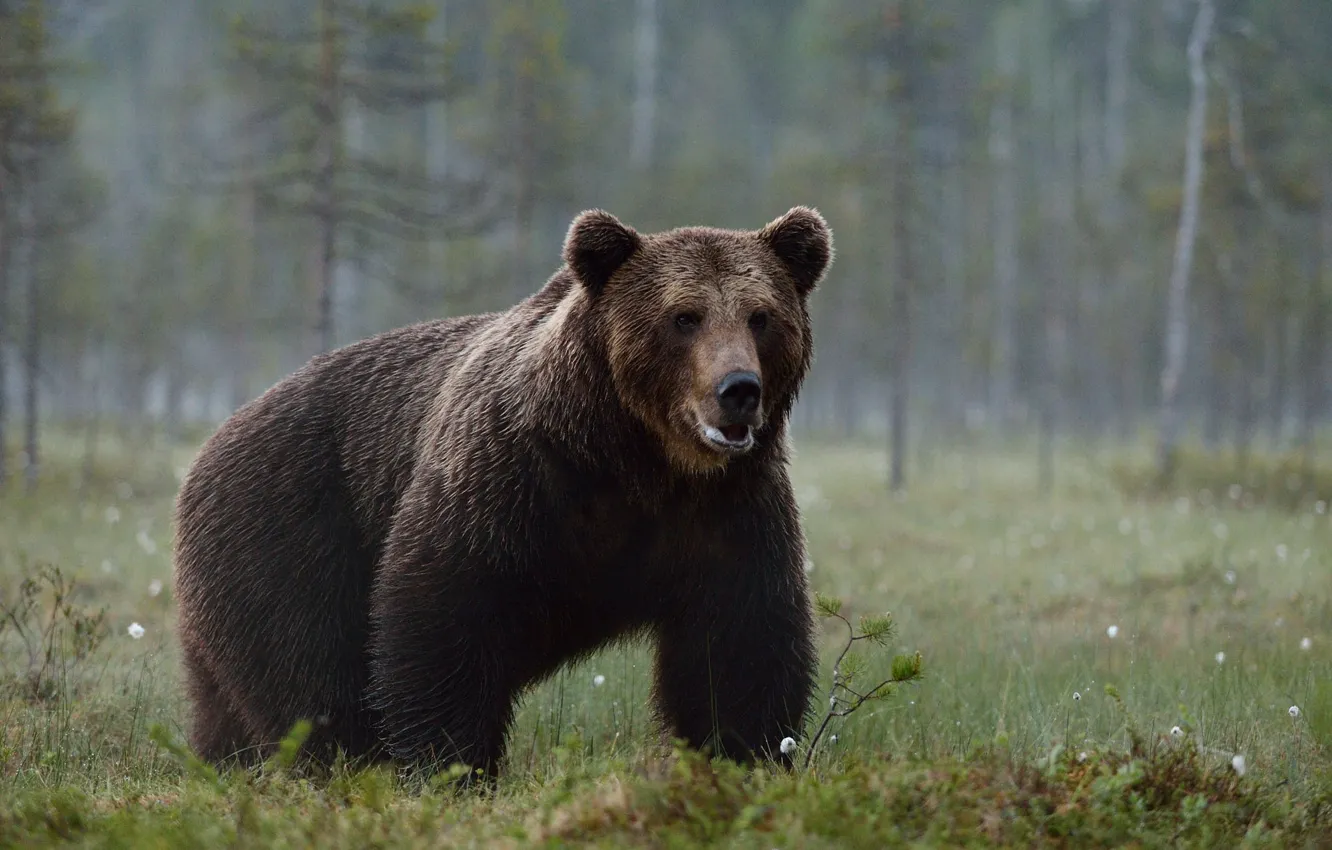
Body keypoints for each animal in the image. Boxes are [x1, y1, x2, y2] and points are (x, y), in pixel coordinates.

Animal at [171, 205, 834, 782]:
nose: (738, 390)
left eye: (760, 315)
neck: (636, 461)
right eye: (684, 317)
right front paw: (449, 766)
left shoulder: (726, 513)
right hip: (287, 530)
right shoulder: (511, 484)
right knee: (309, 673)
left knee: (225, 703)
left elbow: (739, 647)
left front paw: (748, 755)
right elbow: (444, 621)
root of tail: (209, 446)